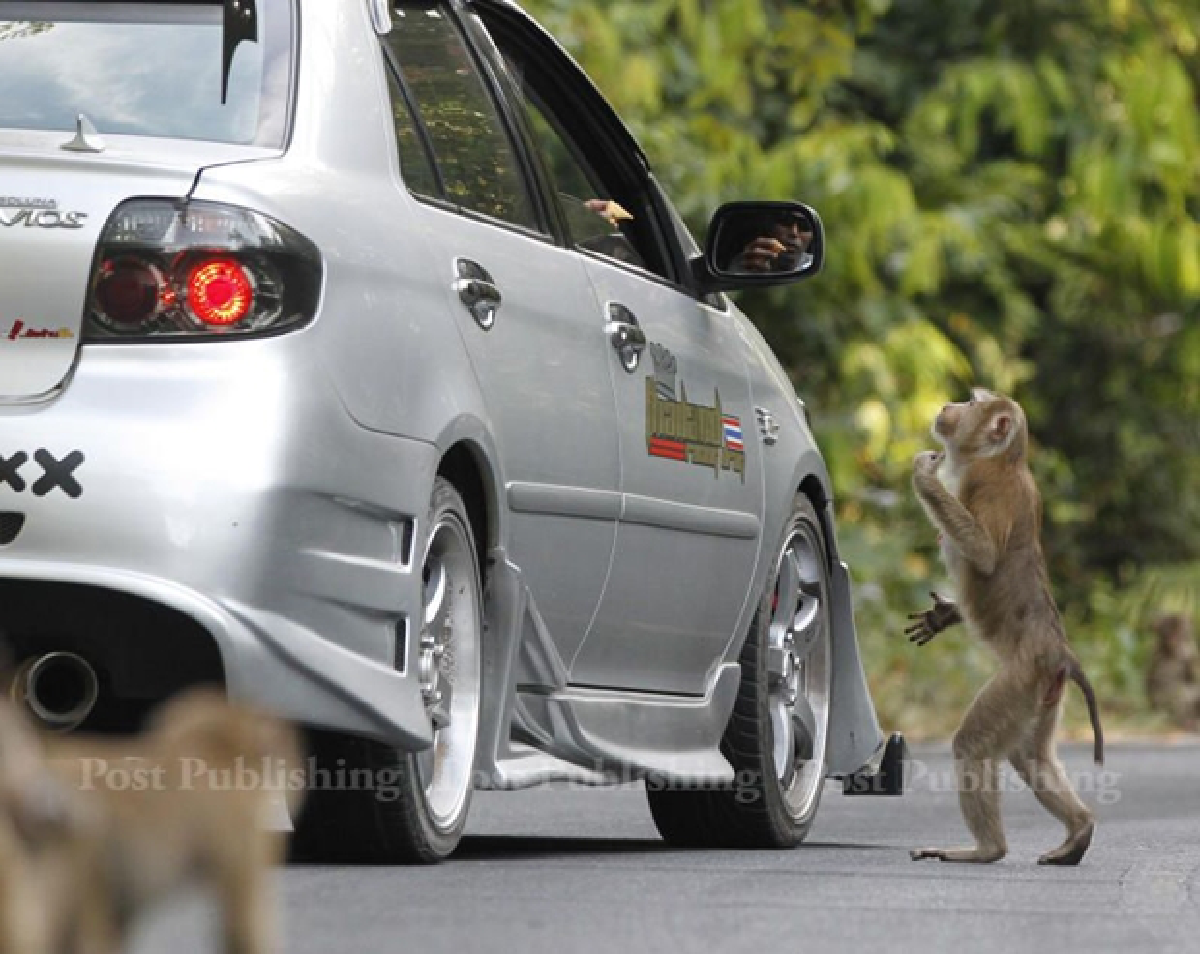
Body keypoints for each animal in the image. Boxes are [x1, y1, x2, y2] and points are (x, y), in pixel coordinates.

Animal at [905, 388, 1104, 866]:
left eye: (971, 402)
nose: (948, 406)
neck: (1001, 458)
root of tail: (1059, 650)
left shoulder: (988, 485)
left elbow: (982, 552)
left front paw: (925, 476)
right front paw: (944, 615)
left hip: (1023, 676)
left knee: (973, 745)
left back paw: (987, 850)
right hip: (1045, 689)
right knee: (1030, 756)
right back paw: (1079, 831)